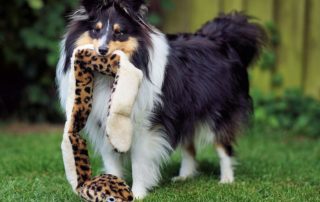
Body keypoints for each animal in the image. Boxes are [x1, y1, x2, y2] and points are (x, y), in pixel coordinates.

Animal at [57, 0, 264, 199]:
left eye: (120, 32)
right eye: (96, 29)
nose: (102, 51)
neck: (108, 77)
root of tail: (221, 38)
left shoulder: (144, 127)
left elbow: (139, 162)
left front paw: (137, 194)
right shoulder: (104, 126)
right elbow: (112, 162)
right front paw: (111, 189)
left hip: (218, 113)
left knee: (223, 147)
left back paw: (226, 180)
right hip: (184, 113)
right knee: (189, 147)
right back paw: (184, 176)